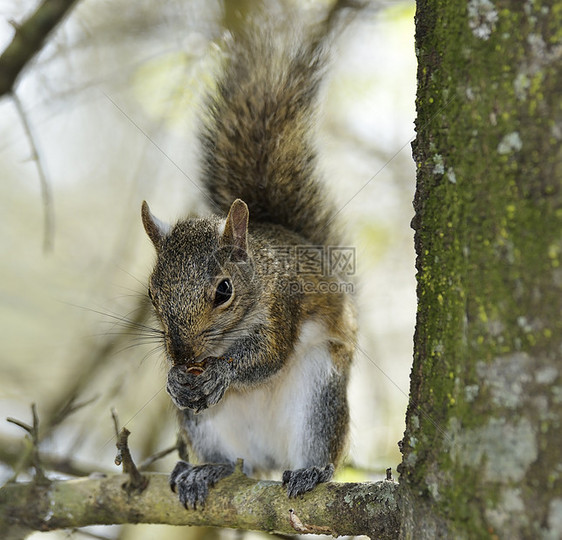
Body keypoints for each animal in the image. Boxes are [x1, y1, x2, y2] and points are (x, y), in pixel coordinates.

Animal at [142, 6, 356, 508]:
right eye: (152, 295)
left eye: (224, 290)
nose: (183, 356)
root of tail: (267, 459)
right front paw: (174, 379)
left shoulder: (283, 306)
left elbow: (269, 355)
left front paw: (224, 371)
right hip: (203, 424)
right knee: (228, 460)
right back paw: (205, 471)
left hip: (319, 392)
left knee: (318, 444)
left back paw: (312, 471)